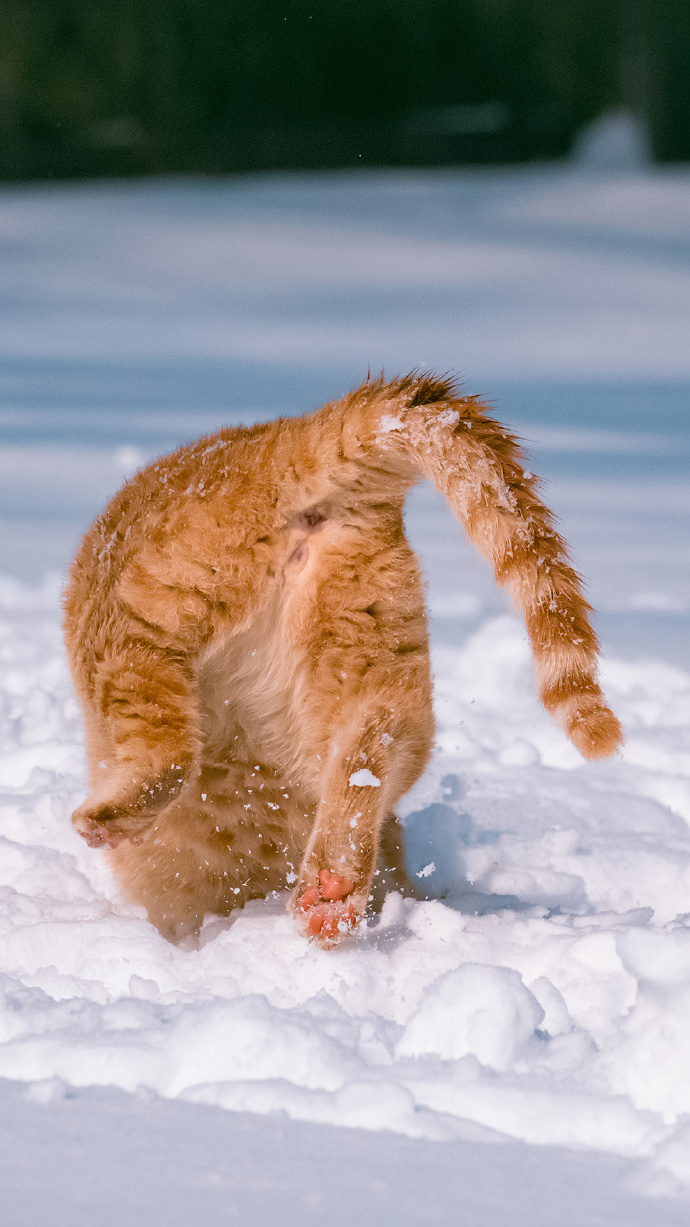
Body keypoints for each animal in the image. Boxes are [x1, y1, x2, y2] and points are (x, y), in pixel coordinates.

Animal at [64, 373, 621, 947]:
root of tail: (280, 441)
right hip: (369, 645)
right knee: (369, 742)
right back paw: (334, 886)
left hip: (135, 632)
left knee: (168, 752)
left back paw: (110, 818)